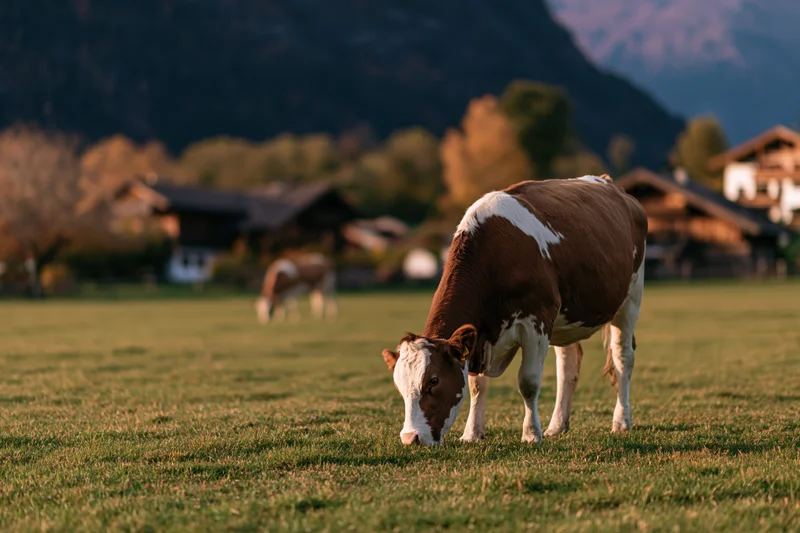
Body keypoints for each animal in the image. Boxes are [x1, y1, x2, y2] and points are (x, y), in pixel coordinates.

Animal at [381, 175, 648, 446]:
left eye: (433, 381)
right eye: (399, 386)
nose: (411, 437)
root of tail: (608, 183)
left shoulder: (536, 322)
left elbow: (528, 382)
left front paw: (531, 434)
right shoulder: (479, 336)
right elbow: (476, 385)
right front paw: (472, 433)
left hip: (630, 299)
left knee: (623, 358)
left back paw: (621, 421)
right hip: (566, 319)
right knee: (567, 367)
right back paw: (557, 425)